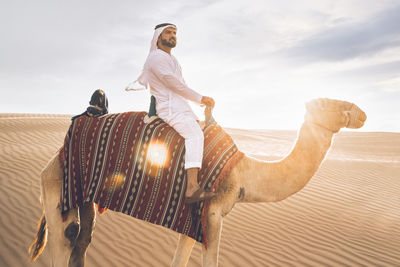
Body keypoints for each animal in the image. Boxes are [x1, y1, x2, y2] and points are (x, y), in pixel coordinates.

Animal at [28, 99, 366, 267]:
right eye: (334, 104)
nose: (362, 114)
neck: (241, 173)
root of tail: (56, 154)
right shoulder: (213, 213)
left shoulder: (192, 219)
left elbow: (179, 258)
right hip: (56, 188)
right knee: (64, 239)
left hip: (84, 198)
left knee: (80, 241)